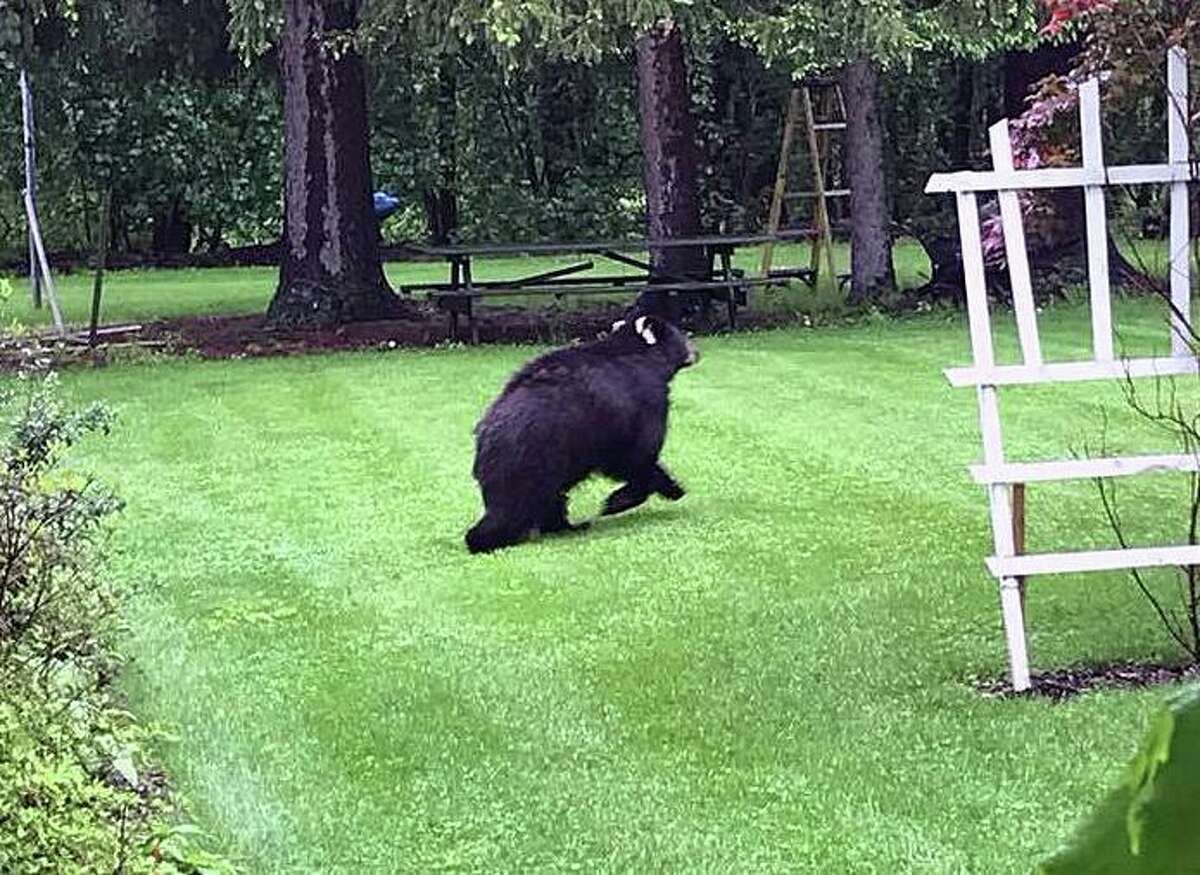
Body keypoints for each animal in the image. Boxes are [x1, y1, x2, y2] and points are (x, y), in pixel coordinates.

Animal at [463, 314, 700, 552]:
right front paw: (624, 499)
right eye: (681, 335)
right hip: (538, 461)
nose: (697, 352)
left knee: (552, 500)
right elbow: (637, 456)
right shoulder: (642, 406)